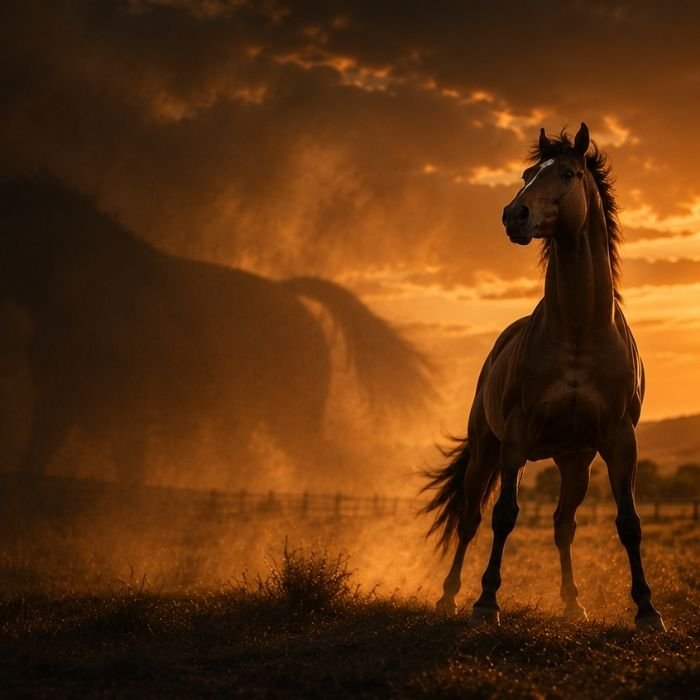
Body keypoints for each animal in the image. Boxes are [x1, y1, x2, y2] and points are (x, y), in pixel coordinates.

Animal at [424, 123, 665, 631]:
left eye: (568, 174)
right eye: (527, 175)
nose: (514, 214)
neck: (578, 331)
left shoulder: (620, 442)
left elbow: (629, 522)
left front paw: (647, 609)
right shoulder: (517, 437)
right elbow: (504, 515)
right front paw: (486, 602)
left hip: (574, 461)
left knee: (562, 523)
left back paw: (573, 603)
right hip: (486, 452)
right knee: (470, 518)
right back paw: (448, 596)